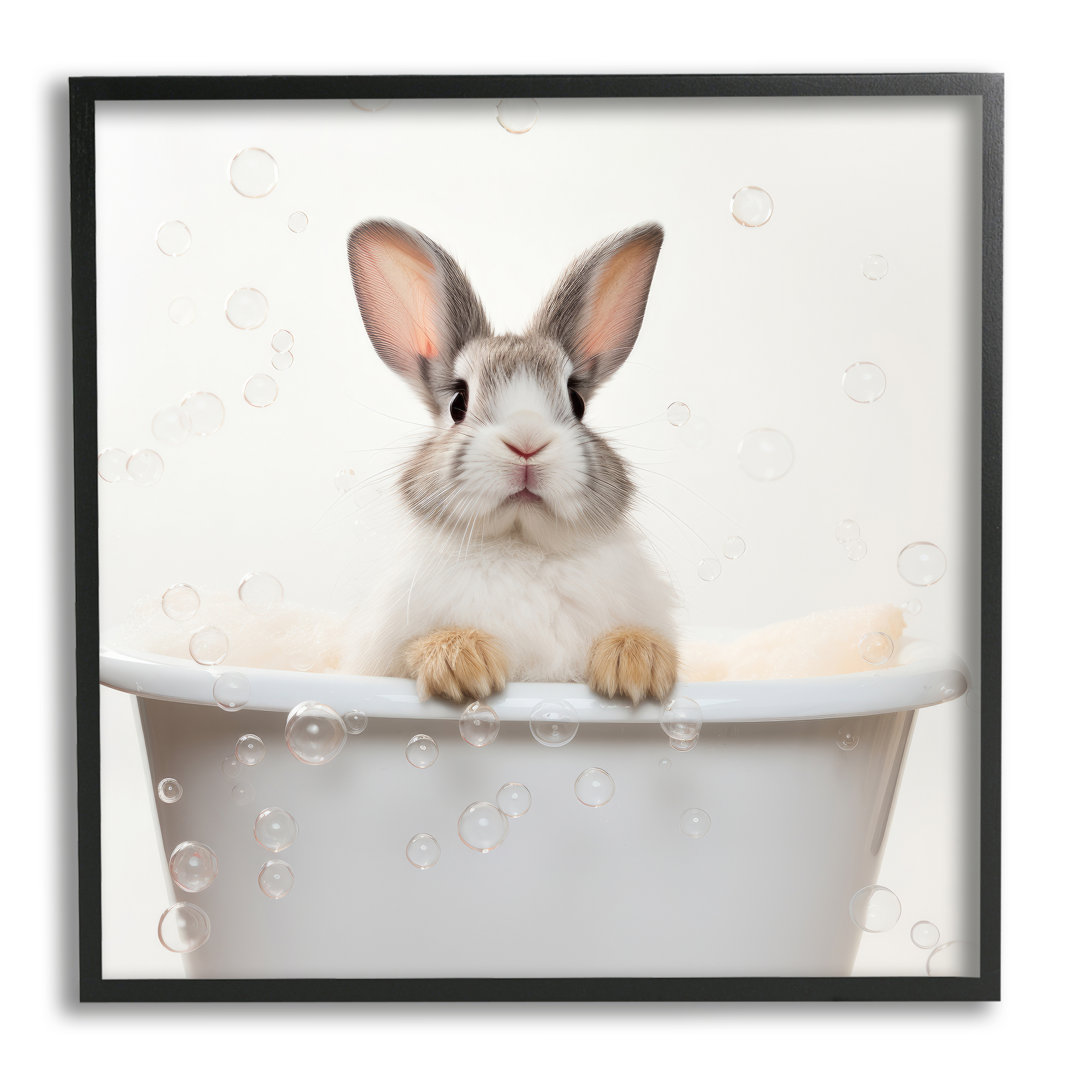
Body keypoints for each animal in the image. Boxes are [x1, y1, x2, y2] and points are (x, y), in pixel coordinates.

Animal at [342, 218, 678, 705]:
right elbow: (414, 651)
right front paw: (464, 663)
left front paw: (637, 665)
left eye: (577, 402)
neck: (520, 543)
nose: (526, 441)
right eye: (458, 403)